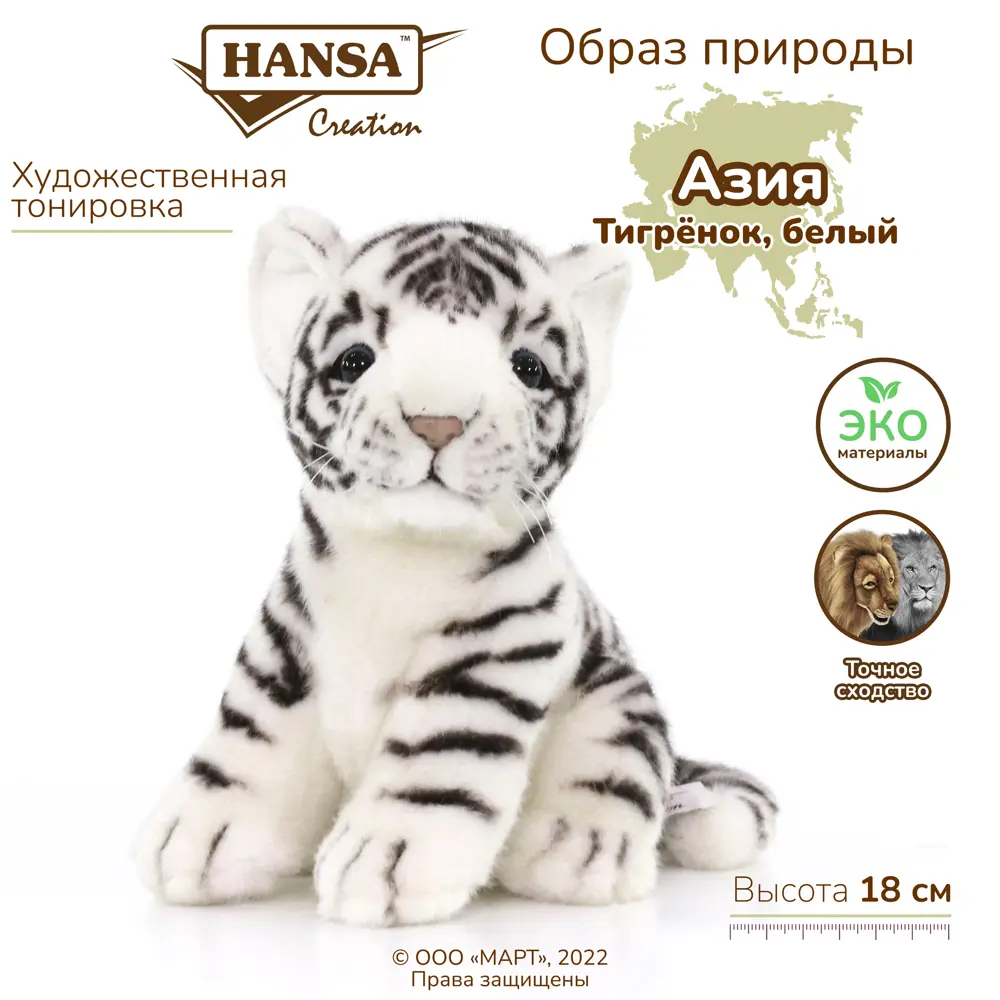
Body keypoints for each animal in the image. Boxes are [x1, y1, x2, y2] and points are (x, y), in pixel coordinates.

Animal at [133, 209, 777, 926]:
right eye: (355, 359)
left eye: (528, 366)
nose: (436, 421)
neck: (398, 555)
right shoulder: (283, 644)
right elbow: (252, 731)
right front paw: (203, 833)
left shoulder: (502, 642)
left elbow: (440, 747)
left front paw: (388, 855)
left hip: (617, 697)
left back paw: (577, 848)